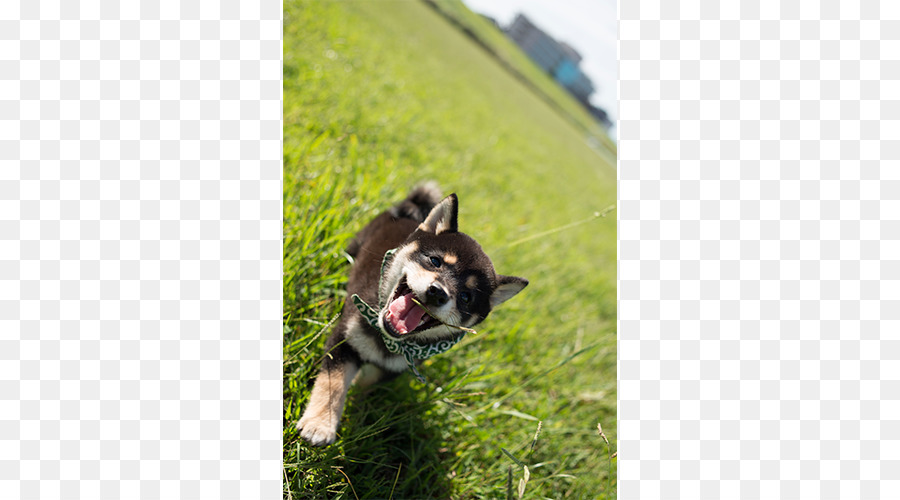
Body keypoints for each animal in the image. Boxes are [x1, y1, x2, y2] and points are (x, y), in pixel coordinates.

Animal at [298, 184, 532, 446]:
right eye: (435, 261)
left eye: (466, 297)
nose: (438, 292)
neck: (389, 339)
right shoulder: (344, 338)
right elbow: (333, 384)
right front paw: (320, 425)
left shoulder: (393, 368)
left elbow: (365, 383)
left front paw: (357, 406)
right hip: (353, 248)